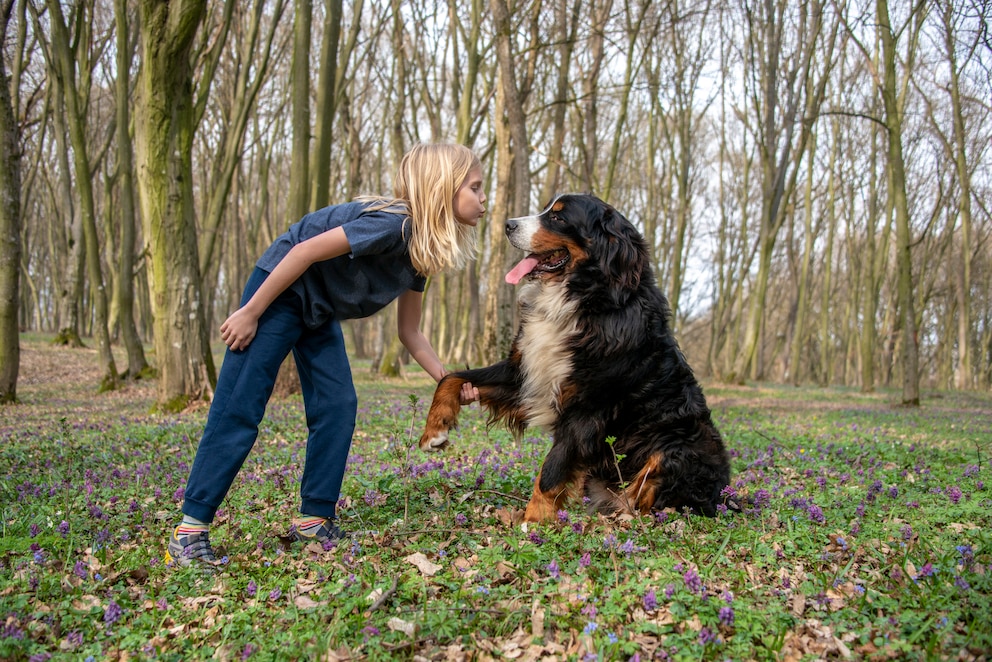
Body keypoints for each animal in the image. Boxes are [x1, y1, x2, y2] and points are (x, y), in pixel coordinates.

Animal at [418, 192, 736, 524]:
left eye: (558, 217)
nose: (507, 224)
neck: (583, 298)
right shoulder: (525, 372)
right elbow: (451, 378)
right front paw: (434, 431)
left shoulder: (587, 408)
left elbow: (552, 468)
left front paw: (533, 521)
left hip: (678, 447)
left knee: (648, 496)